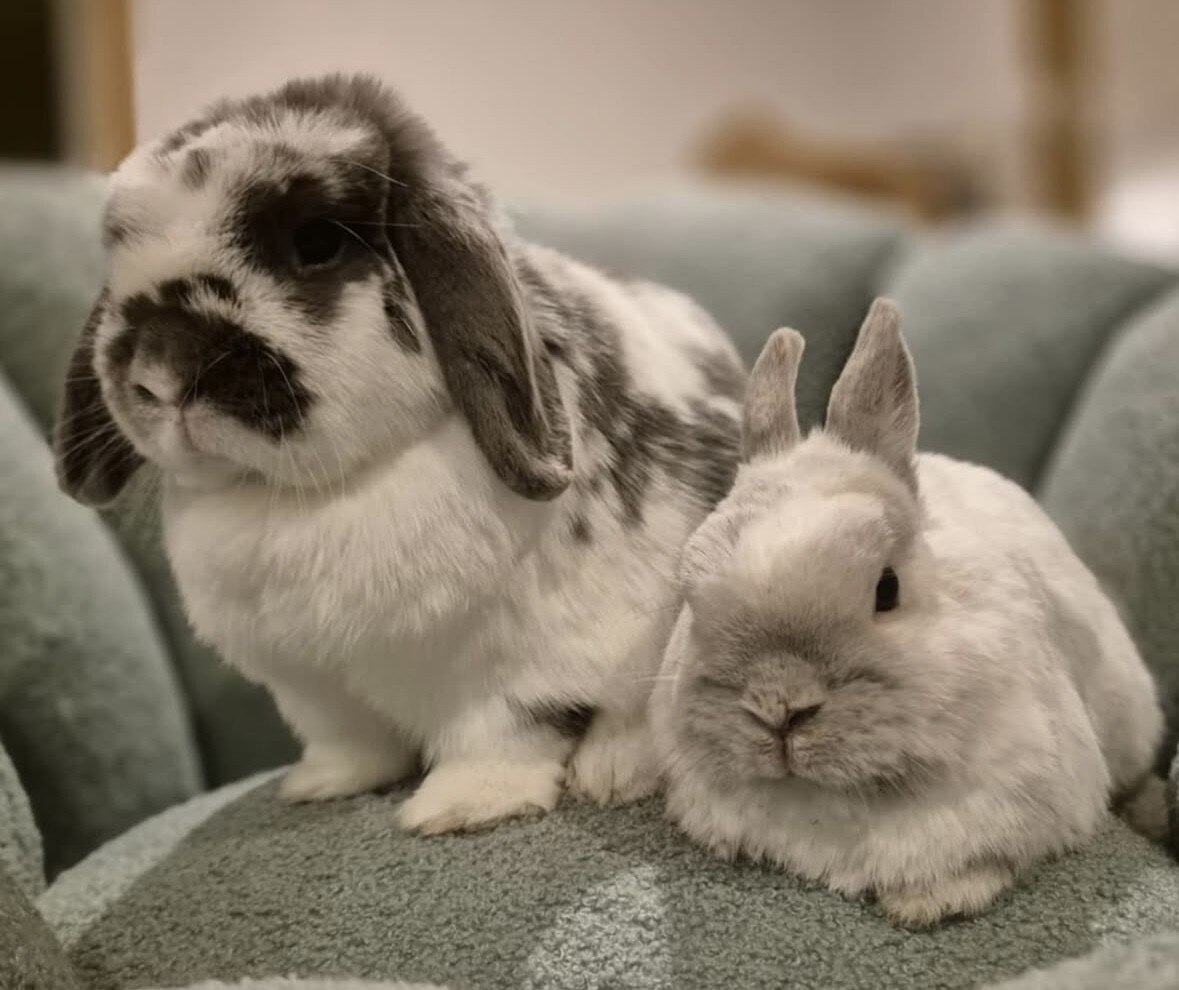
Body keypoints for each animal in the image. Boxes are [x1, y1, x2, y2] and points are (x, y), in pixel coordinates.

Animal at [54, 73, 745, 835]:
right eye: (118, 257)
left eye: (317, 241)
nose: (161, 373)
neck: (308, 497)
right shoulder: (315, 692)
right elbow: (349, 744)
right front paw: (319, 786)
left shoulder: (525, 666)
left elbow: (503, 733)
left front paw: (458, 809)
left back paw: (612, 775)